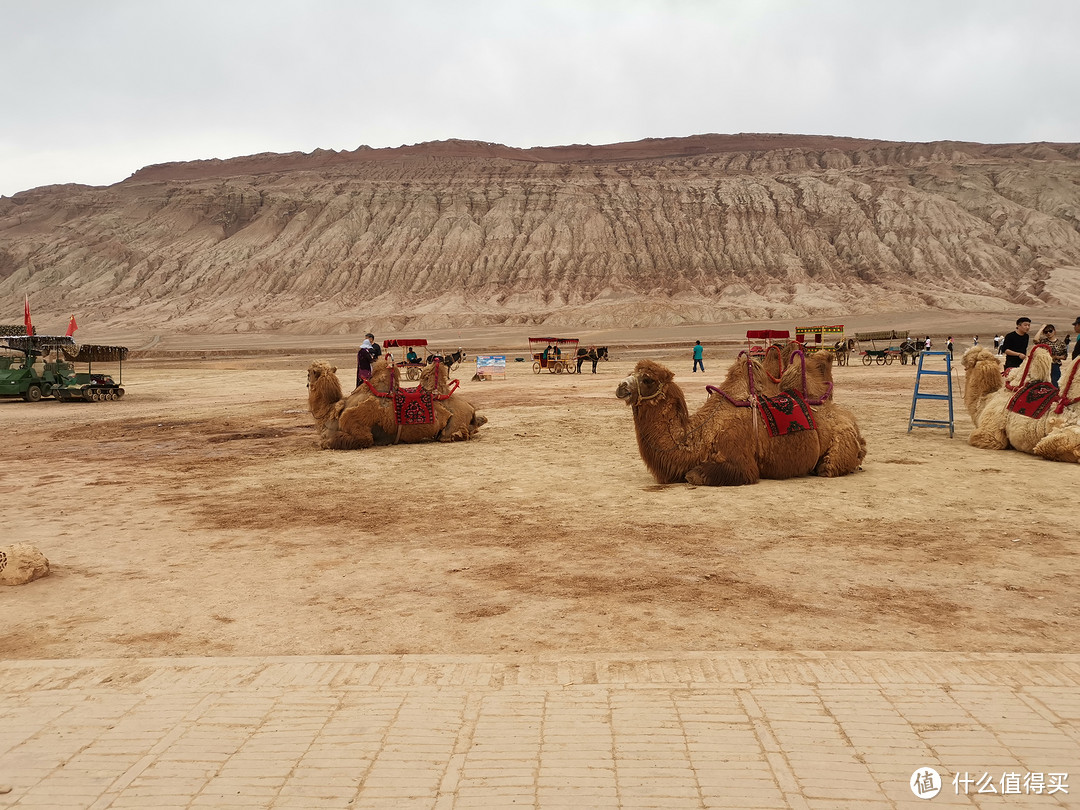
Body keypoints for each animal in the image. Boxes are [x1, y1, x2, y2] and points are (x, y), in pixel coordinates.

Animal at [306, 360, 488, 453]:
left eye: (308, 372)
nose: (307, 383)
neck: (332, 410)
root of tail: (471, 407)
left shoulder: (360, 432)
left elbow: (329, 441)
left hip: (453, 426)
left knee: (450, 435)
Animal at [622, 349, 864, 488]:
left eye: (647, 379)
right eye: (629, 374)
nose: (621, 387)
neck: (703, 434)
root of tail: (851, 420)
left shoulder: (739, 457)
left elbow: (695, 475)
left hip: (841, 442)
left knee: (828, 468)